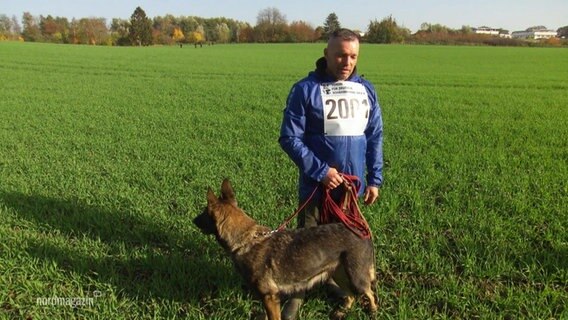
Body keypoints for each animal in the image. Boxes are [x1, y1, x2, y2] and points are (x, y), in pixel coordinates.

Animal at [193, 179, 380, 318]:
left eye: (203, 213)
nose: (193, 220)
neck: (245, 239)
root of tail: (361, 229)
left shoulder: (270, 297)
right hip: (338, 273)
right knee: (350, 295)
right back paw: (342, 311)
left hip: (356, 277)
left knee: (369, 293)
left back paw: (373, 311)